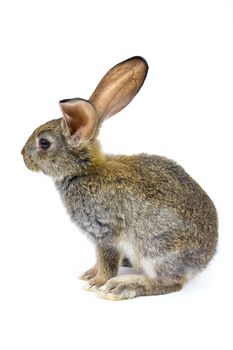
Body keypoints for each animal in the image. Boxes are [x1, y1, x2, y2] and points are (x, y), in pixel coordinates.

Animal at [21, 56, 218, 300]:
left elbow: (106, 260)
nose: (22, 155)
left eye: (44, 143)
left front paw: (97, 282)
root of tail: (203, 261)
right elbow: (99, 260)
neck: (84, 172)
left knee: (170, 282)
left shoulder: (105, 232)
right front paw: (90, 274)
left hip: (155, 249)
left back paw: (122, 286)